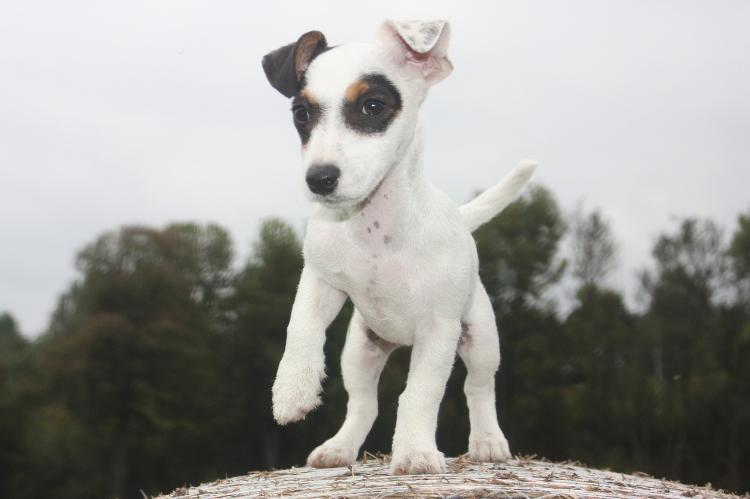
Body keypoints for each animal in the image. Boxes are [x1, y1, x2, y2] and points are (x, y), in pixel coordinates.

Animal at [262, 20, 536, 476]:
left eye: (373, 106)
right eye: (302, 114)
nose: (319, 179)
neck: (375, 228)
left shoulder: (439, 331)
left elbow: (419, 395)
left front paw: (415, 453)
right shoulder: (320, 280)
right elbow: (300, 329)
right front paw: (292, 390)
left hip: (480, 338)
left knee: (478, 388)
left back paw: (487, 441)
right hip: (360, 350)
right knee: (364, 405)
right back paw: (339, 448)